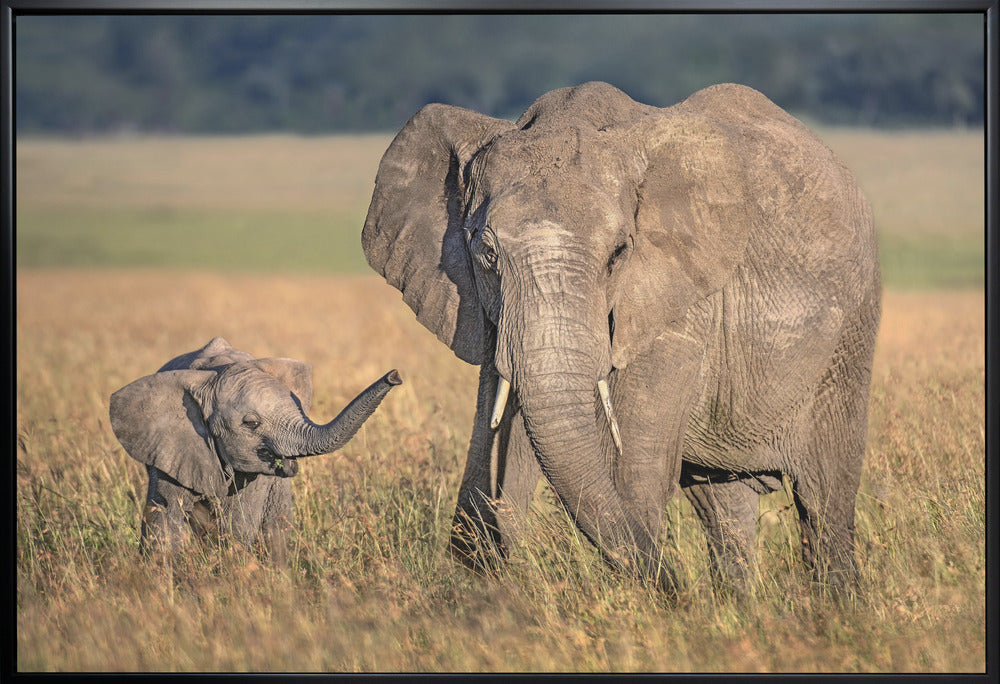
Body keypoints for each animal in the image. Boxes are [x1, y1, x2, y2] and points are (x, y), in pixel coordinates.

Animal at [361, 82, 880, 595]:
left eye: (618, 254)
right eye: (485, 254)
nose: (681, 588)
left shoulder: (678, 304)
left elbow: (627, 474)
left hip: (848, 340)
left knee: (824, 496)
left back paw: (834, 604)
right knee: (723, 503)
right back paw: (736, 603)